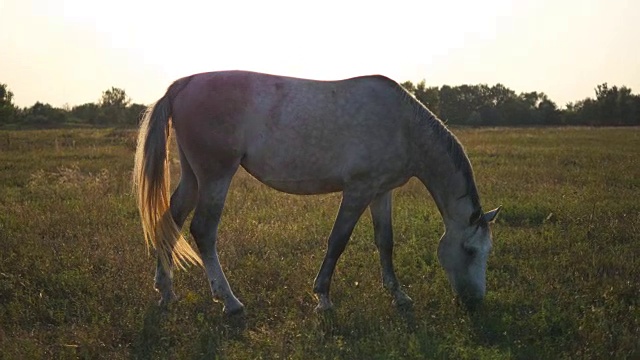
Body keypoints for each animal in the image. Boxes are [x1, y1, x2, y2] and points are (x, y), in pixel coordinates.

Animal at [134, 69, 500, 312]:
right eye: (470, 251)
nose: (475, 301)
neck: (404, 125)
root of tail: (184, 83)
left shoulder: (381, 192)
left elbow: (385, 242)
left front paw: (399, 295)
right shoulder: (358, 190)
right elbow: (338, 240)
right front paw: (322, 296)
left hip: (194, 176)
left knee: (172, 218)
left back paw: (165, 290)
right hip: (216, 175)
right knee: (203, 231)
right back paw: (230, 301)